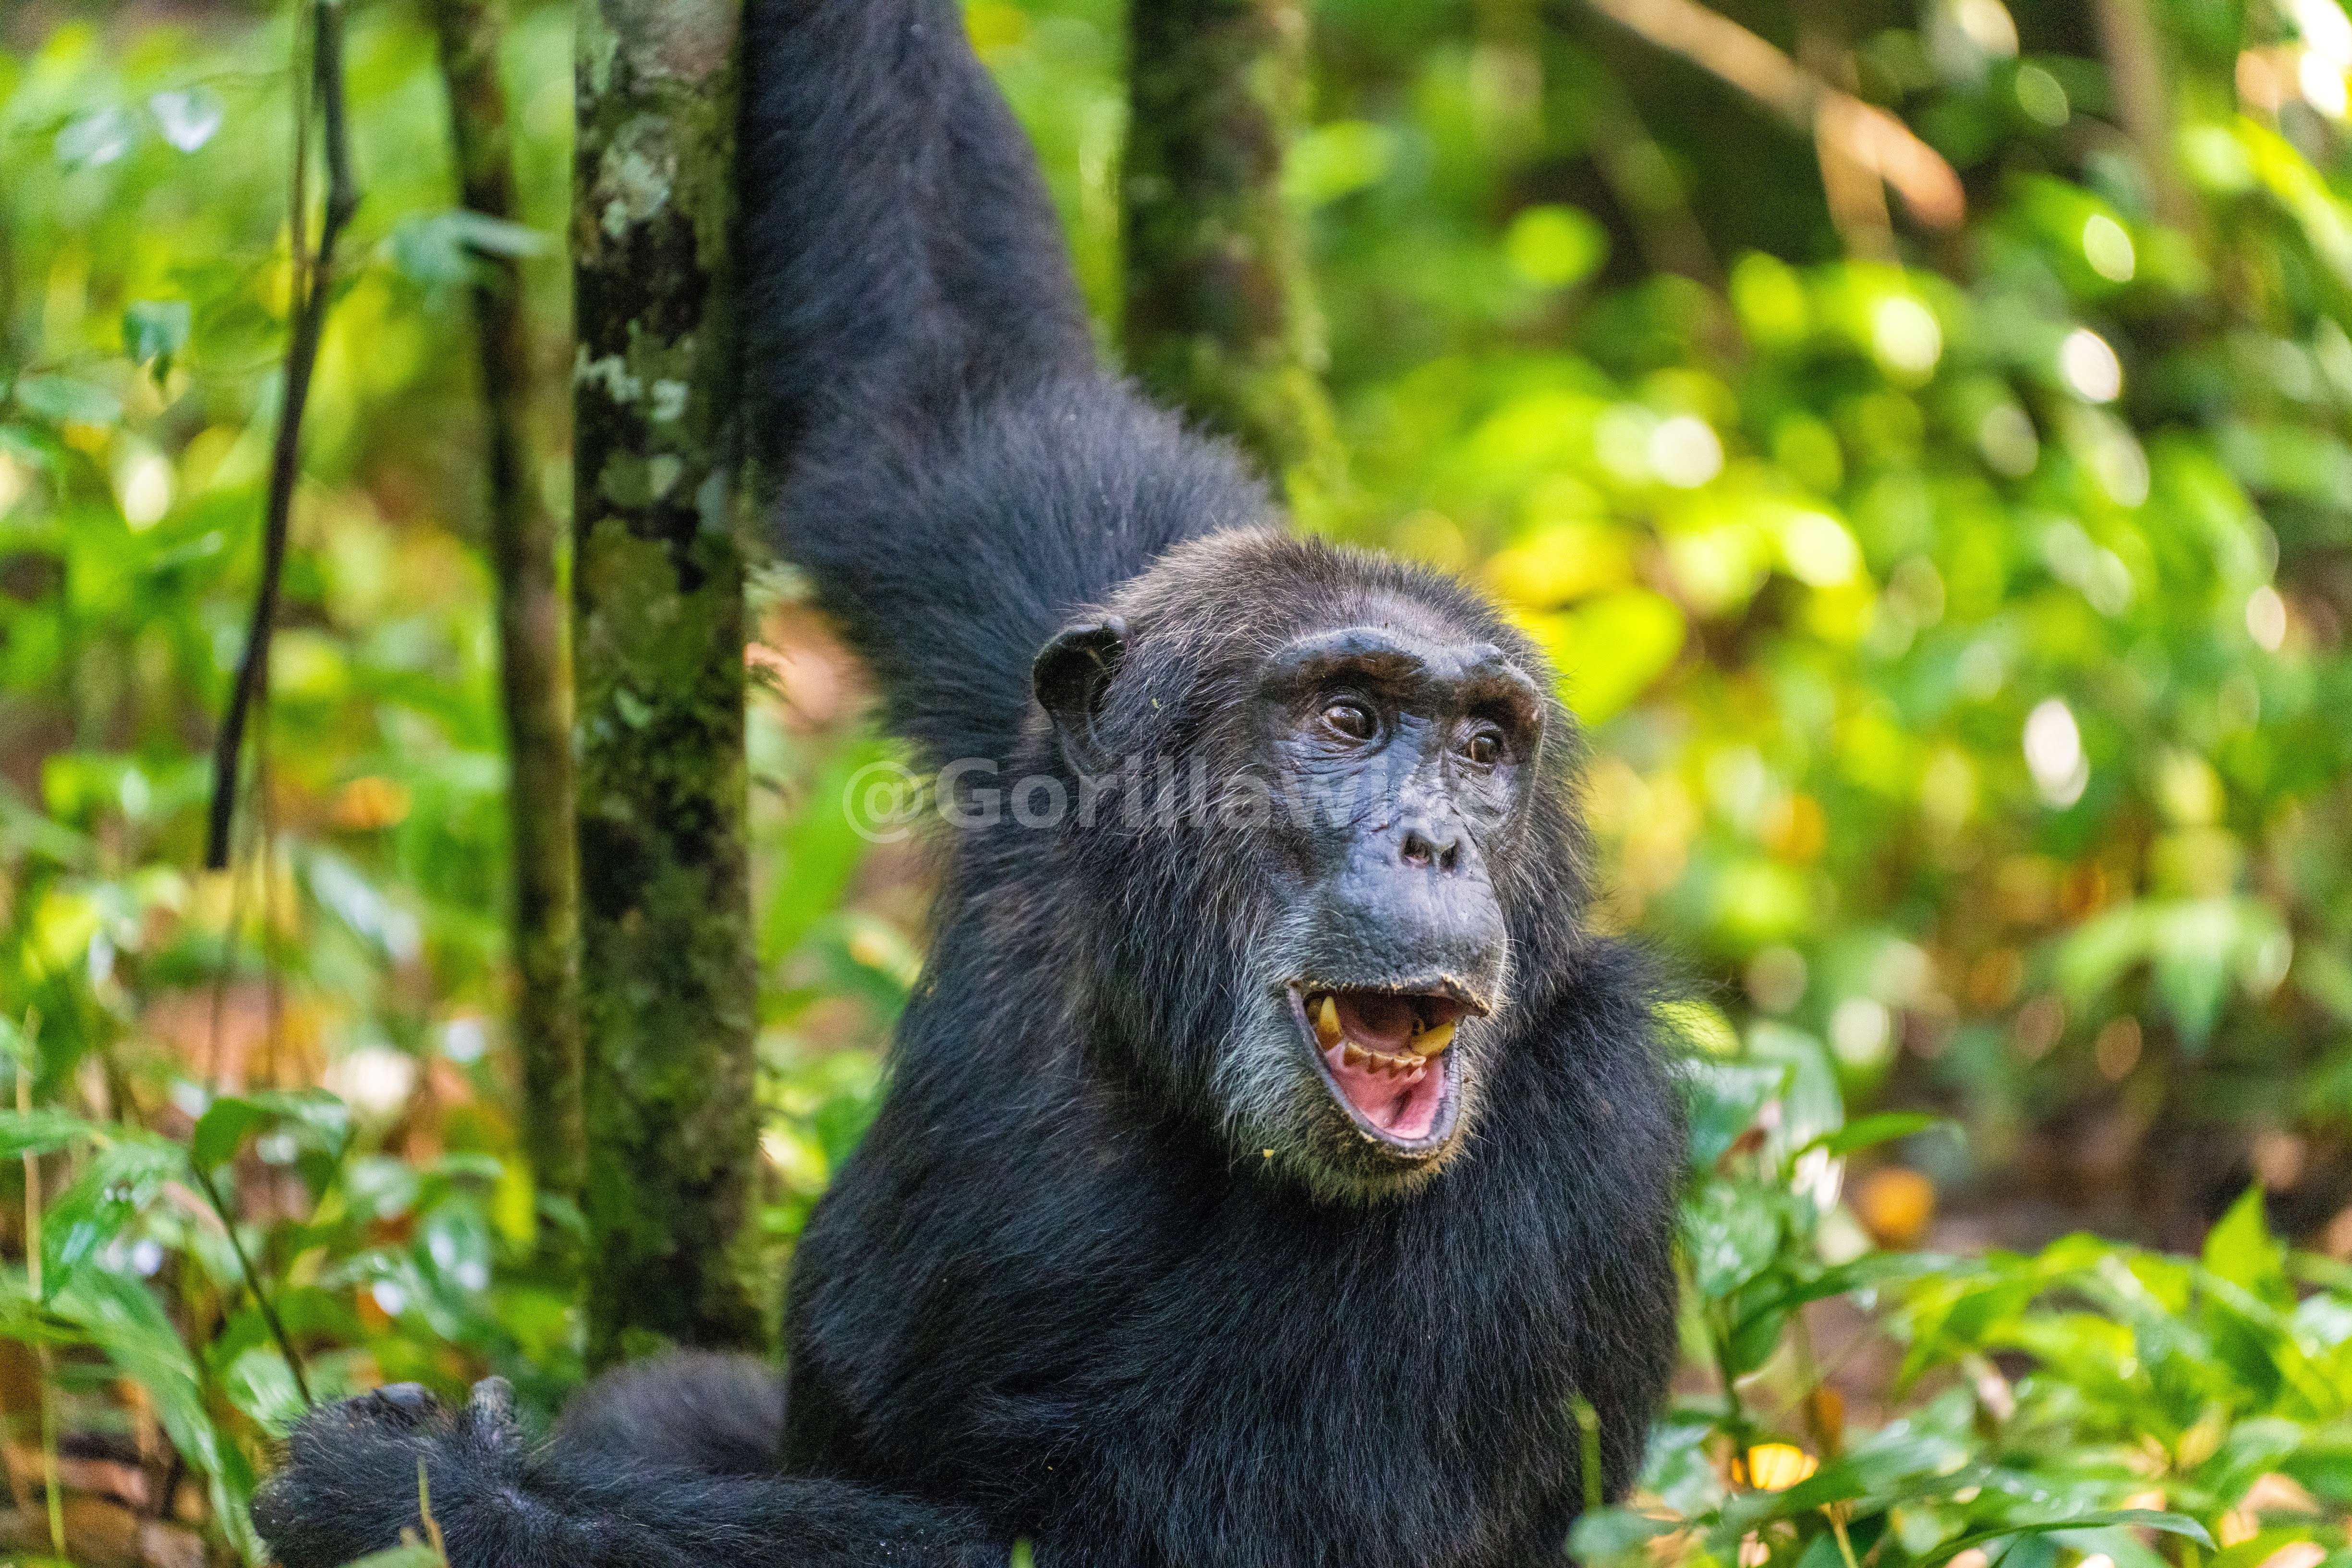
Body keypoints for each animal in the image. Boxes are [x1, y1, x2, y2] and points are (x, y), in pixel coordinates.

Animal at [251, 0, 1683, 1563]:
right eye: (1351, 718)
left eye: (1483, 748)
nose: (1433, 841)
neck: (1160, 1056)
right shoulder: (1068, 618)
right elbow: (936, 372)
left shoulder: (1587, 1145)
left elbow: (1200, 1536)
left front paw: (424, 1486)